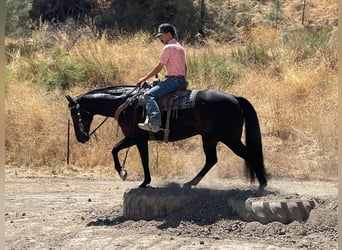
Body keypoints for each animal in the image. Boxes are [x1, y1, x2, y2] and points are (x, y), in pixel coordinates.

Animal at [65, 85, 268, 190]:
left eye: (76, 115)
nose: (81, 138)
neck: (125, 103)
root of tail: (234, 98)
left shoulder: (139, 139)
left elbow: (143, 159)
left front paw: (143, 181)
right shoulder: (131, 138)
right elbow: (114, 149)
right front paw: (123, 172)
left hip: (230, 139)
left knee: (249, 154)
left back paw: (262, 184)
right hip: (209, 138)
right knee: (211, 160)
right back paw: (190, 183)